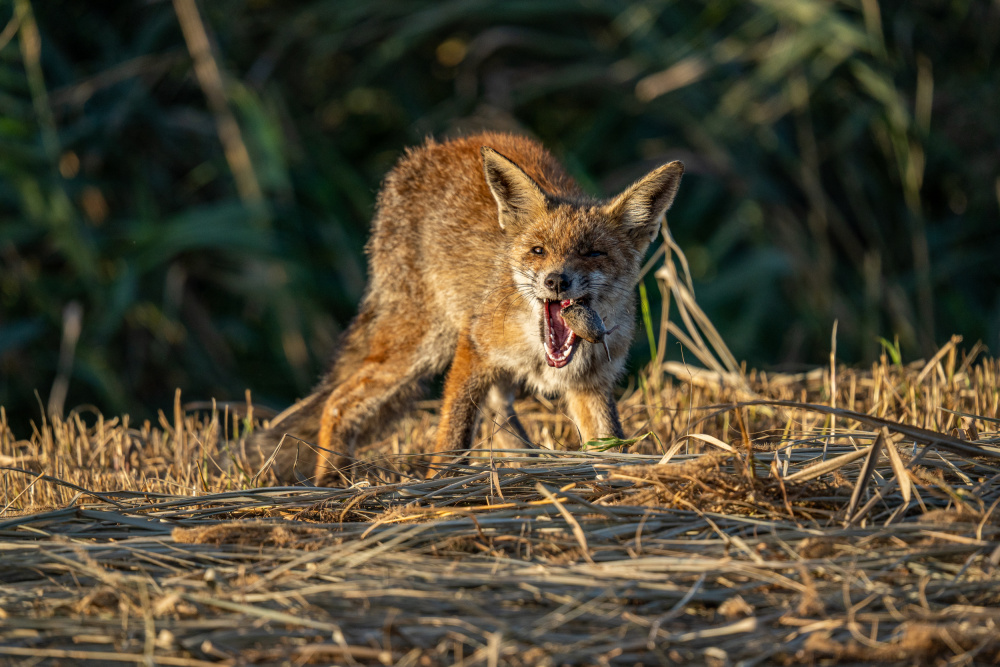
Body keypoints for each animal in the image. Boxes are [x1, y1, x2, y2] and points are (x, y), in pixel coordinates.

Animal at [246, 132, 684, 486]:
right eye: (538, 250)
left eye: (593, 253)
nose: (556, 281)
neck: (536, 345)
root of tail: (428, 150)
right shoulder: (473, 348)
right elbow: (453, 438)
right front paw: (437, 486)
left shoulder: (590, 384)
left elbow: (610, 444)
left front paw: (624, 480)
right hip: (421, 347)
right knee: (337, 402)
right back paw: (332, 481)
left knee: (498, 409)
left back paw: (526, 460)